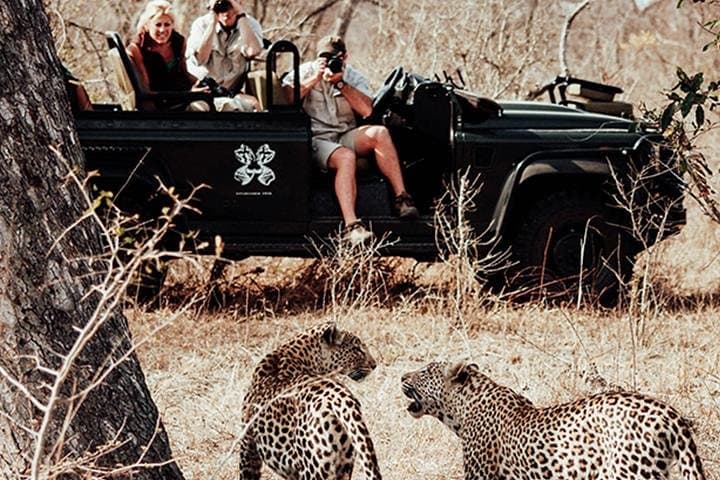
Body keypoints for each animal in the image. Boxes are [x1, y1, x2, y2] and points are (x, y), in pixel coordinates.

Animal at [239, 322, 382, 480]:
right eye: (357, 349)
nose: (374, 365)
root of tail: (339, 396)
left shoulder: (247, 447)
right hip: (344, 464)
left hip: (312, 468)